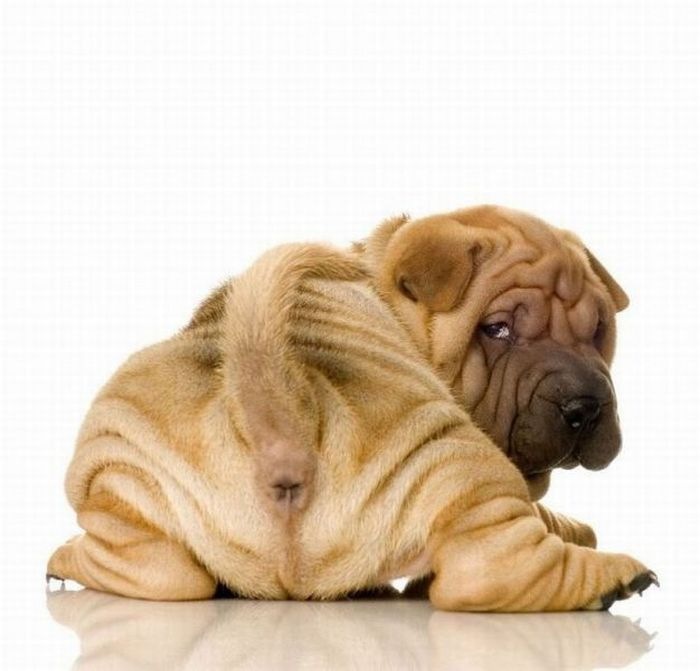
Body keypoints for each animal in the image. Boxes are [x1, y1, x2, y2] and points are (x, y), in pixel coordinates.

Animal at [47, 205, 656, 611]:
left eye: (598, 331)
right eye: (497, 329)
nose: (585, 406)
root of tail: (276, 412)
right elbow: (531, 515)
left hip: (118, 478)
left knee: (160, 573)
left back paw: (65, 558)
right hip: (458, 453)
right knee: (489, 572)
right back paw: (614, 577)